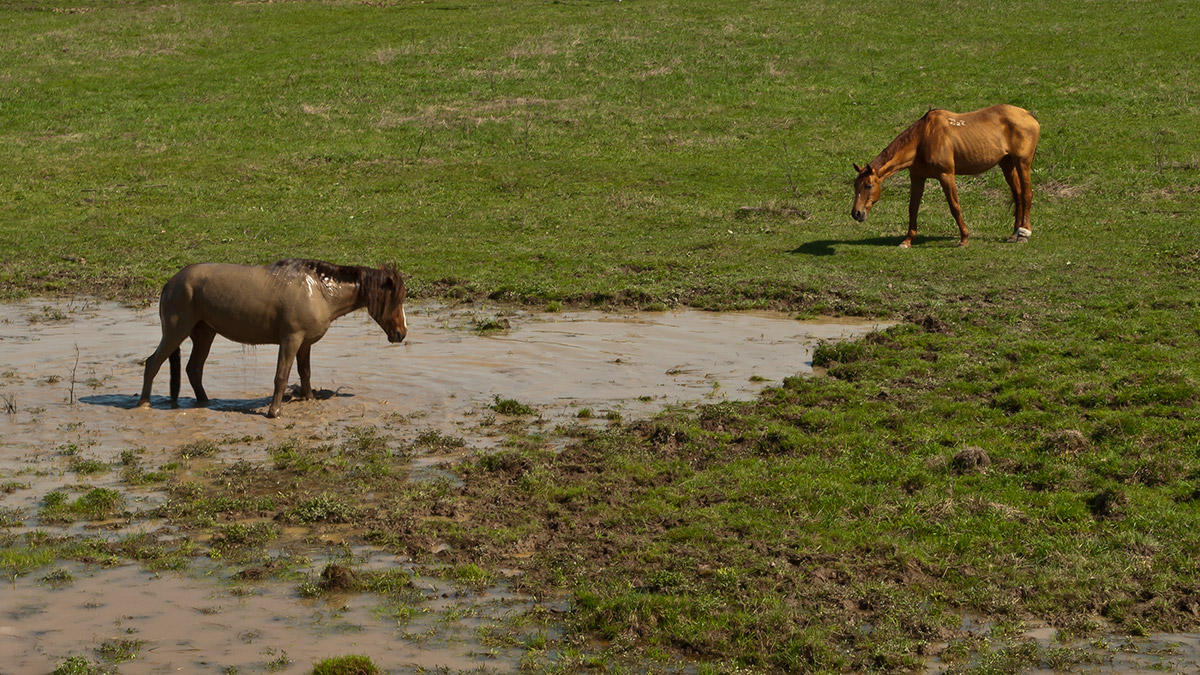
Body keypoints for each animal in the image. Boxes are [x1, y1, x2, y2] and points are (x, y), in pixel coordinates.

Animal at [140, 255, 408, 415]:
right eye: (396, 300)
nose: (401, 333)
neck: (320, 292)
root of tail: (170, 283)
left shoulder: (304, 343)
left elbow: (305, 373)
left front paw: (308, 399)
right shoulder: (290, 339)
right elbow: (281, 376)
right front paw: (273, 412)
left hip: (204, 333)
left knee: (193, 369)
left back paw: (206, 402)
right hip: (176, 331)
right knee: (152, 363)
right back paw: (144, 403)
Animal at [854, 106, 1041, 248]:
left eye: (869, 186)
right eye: (855, 186)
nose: (856, 213)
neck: (923, 138)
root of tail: (1028, 114)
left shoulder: (946, 176)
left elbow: (954, 206)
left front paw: (964, 239)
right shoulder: (917, 177)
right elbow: (913, 208)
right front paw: (907, 240)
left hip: (1023, 164)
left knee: (1027, 194)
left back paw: (1024, 233)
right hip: (1007, 164)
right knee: (1018, 195)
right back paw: (1014, 233)